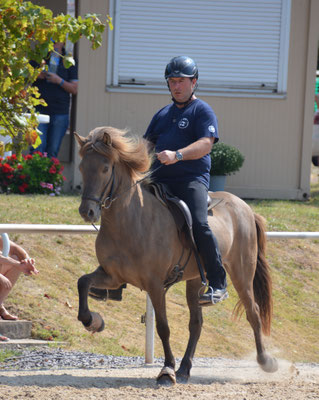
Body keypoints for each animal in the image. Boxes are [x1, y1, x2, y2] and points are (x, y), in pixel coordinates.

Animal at [75, 126, 278, 386]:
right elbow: (83, 282)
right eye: (82, 167)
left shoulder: (154, 284)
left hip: (241, 273)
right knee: (197, 323)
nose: (87, 211)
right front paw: (93, 321)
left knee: (253, 312)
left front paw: (166, 370)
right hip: (196, 280)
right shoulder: (112, 277)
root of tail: (245, 208)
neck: (131, 221)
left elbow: (163, 327)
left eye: (105, 168)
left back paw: (266, 361)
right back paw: (185, 369)